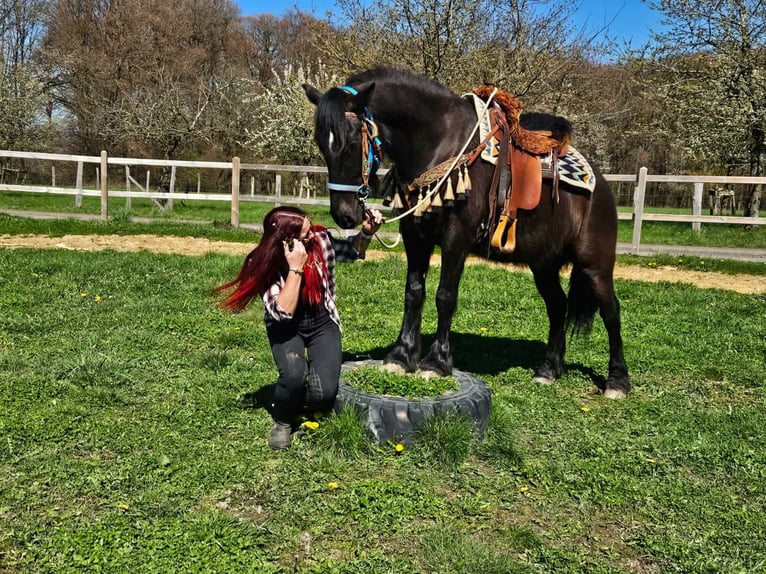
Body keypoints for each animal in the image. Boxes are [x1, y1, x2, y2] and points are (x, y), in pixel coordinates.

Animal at [303, 66, 630, 398]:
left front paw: (436, 363)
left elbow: (445, 296)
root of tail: (601, 184)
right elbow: (414, 293)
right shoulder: (415, 236)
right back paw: (548, 370)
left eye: (351, 143)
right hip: (544, 265)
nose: (344, 214)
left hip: (594, 265)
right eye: (321, 144)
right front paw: (401, 356)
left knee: (611, 311)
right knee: (558, 307)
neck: (439, 141)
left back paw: (617, 381)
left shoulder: (456, 238)